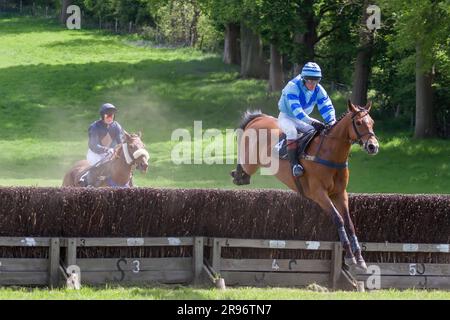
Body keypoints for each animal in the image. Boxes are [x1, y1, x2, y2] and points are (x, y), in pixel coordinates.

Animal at [230, 100, 378, 272]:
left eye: (372, 122)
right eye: (359, 123)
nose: (373, 146)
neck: (330, 154)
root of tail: (259, 118)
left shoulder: (340, 194)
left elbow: (349, 223)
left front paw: (359, 259)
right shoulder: (319, 194)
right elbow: (338, 219)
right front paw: (350, 257)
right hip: (251, 162)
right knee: (243, 165)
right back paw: (238, 175)